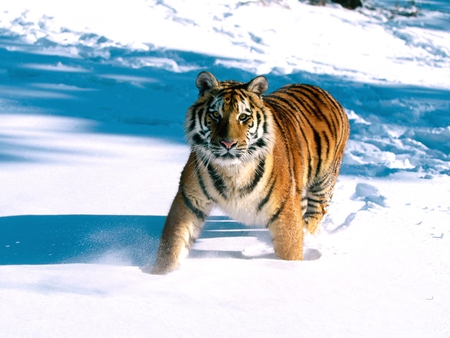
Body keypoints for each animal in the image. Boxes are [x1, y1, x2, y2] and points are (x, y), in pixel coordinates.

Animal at [149, 71, 350, 274]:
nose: (228, 143)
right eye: (215, 115)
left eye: (243, 117)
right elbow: (173, 244)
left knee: (316, 214)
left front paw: (288, 268)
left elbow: (289, 251)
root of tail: (323, 91)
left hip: (323, 183)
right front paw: (158, 273)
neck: (232, 171)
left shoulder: (285, 211)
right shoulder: (190, 199)